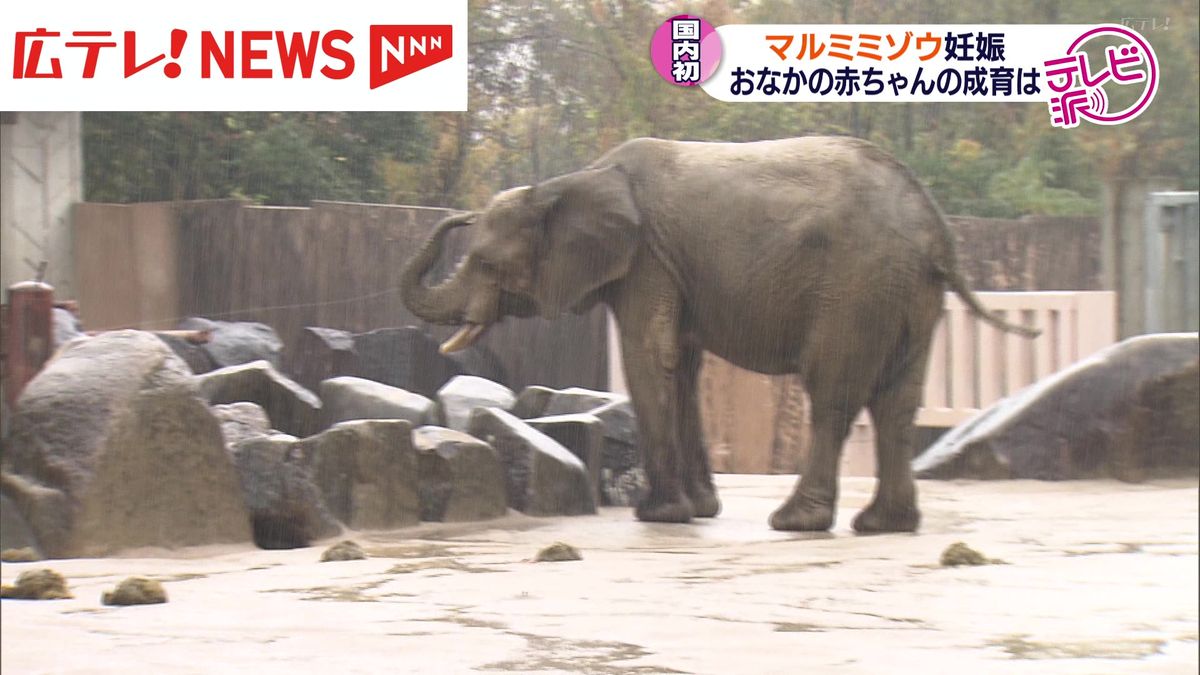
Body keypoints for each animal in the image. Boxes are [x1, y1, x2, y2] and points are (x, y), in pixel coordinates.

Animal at [398, 136, 1036, 530]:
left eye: (484, 262)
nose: (456, 218)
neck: (570, 181)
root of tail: (935, 225)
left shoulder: (646, 262)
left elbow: (647, 357)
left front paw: (657, 516)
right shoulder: (670, 267)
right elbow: (682, 366)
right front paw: (700, 511)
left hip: (857, 286)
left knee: (834, 394)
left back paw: (797, 522)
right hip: (907, 292)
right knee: (897, 403)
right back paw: (884, 526)